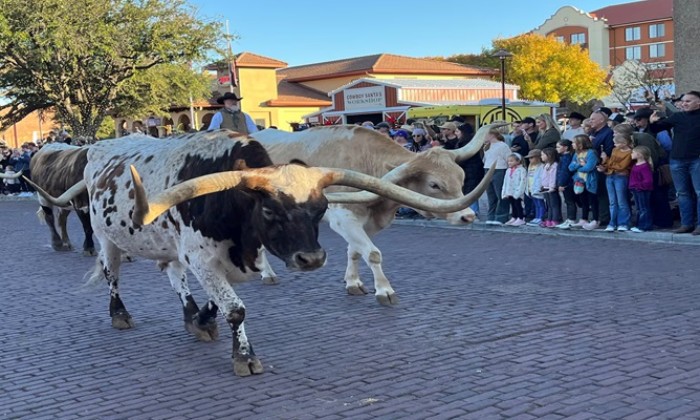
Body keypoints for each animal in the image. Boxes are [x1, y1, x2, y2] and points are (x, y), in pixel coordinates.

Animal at [252, 123, 499, 306]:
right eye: (434, 185)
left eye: (460, 177)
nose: (468, 217)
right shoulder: (344, 218)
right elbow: (373, 254)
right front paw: (385, 290)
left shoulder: (367, 223)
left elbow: (355, 252)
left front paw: (353, 283)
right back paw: (267, 274)